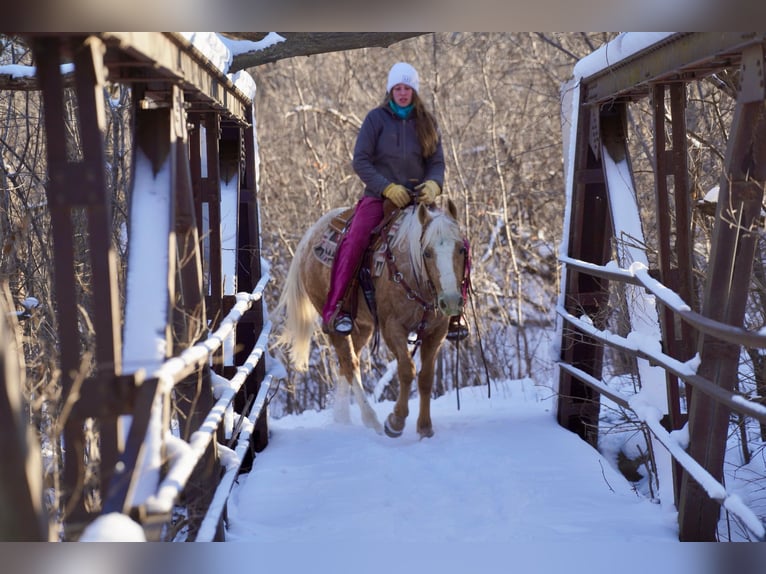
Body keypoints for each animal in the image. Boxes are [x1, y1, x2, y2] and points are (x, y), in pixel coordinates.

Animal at [278, 200, 468, 438]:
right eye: (427, 253)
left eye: (461, 249)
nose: (451, 301)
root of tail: (310, 237)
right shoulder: (392, 328)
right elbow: (406, 370)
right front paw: (395, 422)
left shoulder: (437, 331)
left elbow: (426, 377)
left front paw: (424, 427)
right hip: (333, 322)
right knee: (349, 364)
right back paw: (372, 421)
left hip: (362, 327)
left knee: (348, 363)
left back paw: (343, 418)